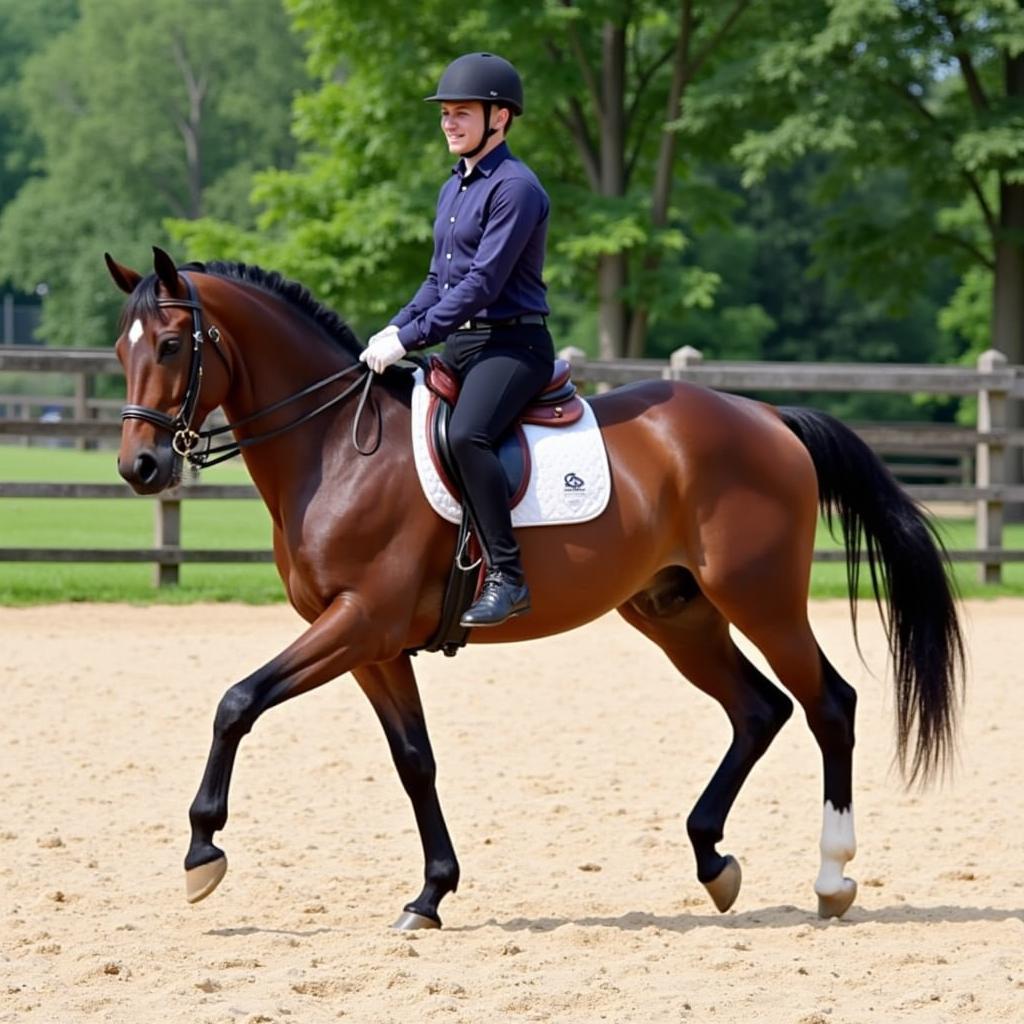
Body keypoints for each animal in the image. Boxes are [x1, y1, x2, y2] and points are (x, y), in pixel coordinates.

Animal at [108, 247, 962, 929]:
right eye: (121, 350)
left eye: (175, 344)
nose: (139, 467)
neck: (334, 450)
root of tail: (768, 417)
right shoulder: (370, 646)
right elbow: (414, 760)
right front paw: (430, 896)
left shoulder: (358, 623)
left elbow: (237, 703)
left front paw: (202, 851)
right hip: (675, 613)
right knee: (759, 710)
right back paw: (713, 862)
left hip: (761, 599)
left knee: (829, 705)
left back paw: (832, 878)